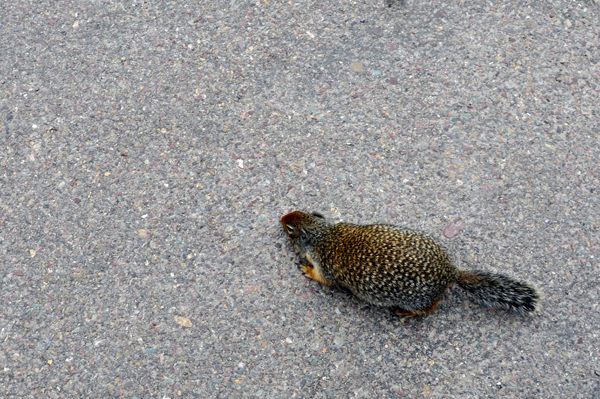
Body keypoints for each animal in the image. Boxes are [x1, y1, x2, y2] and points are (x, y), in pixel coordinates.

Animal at [282, 211, 540, 318]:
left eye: (290, 229)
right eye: (297, 210)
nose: (281, 217)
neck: (323, 234)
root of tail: (450, 272)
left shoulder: (325, 266)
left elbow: (324, 279)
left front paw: (306, 269)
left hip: (416, 300)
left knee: (430, 307)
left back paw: (406, 313)